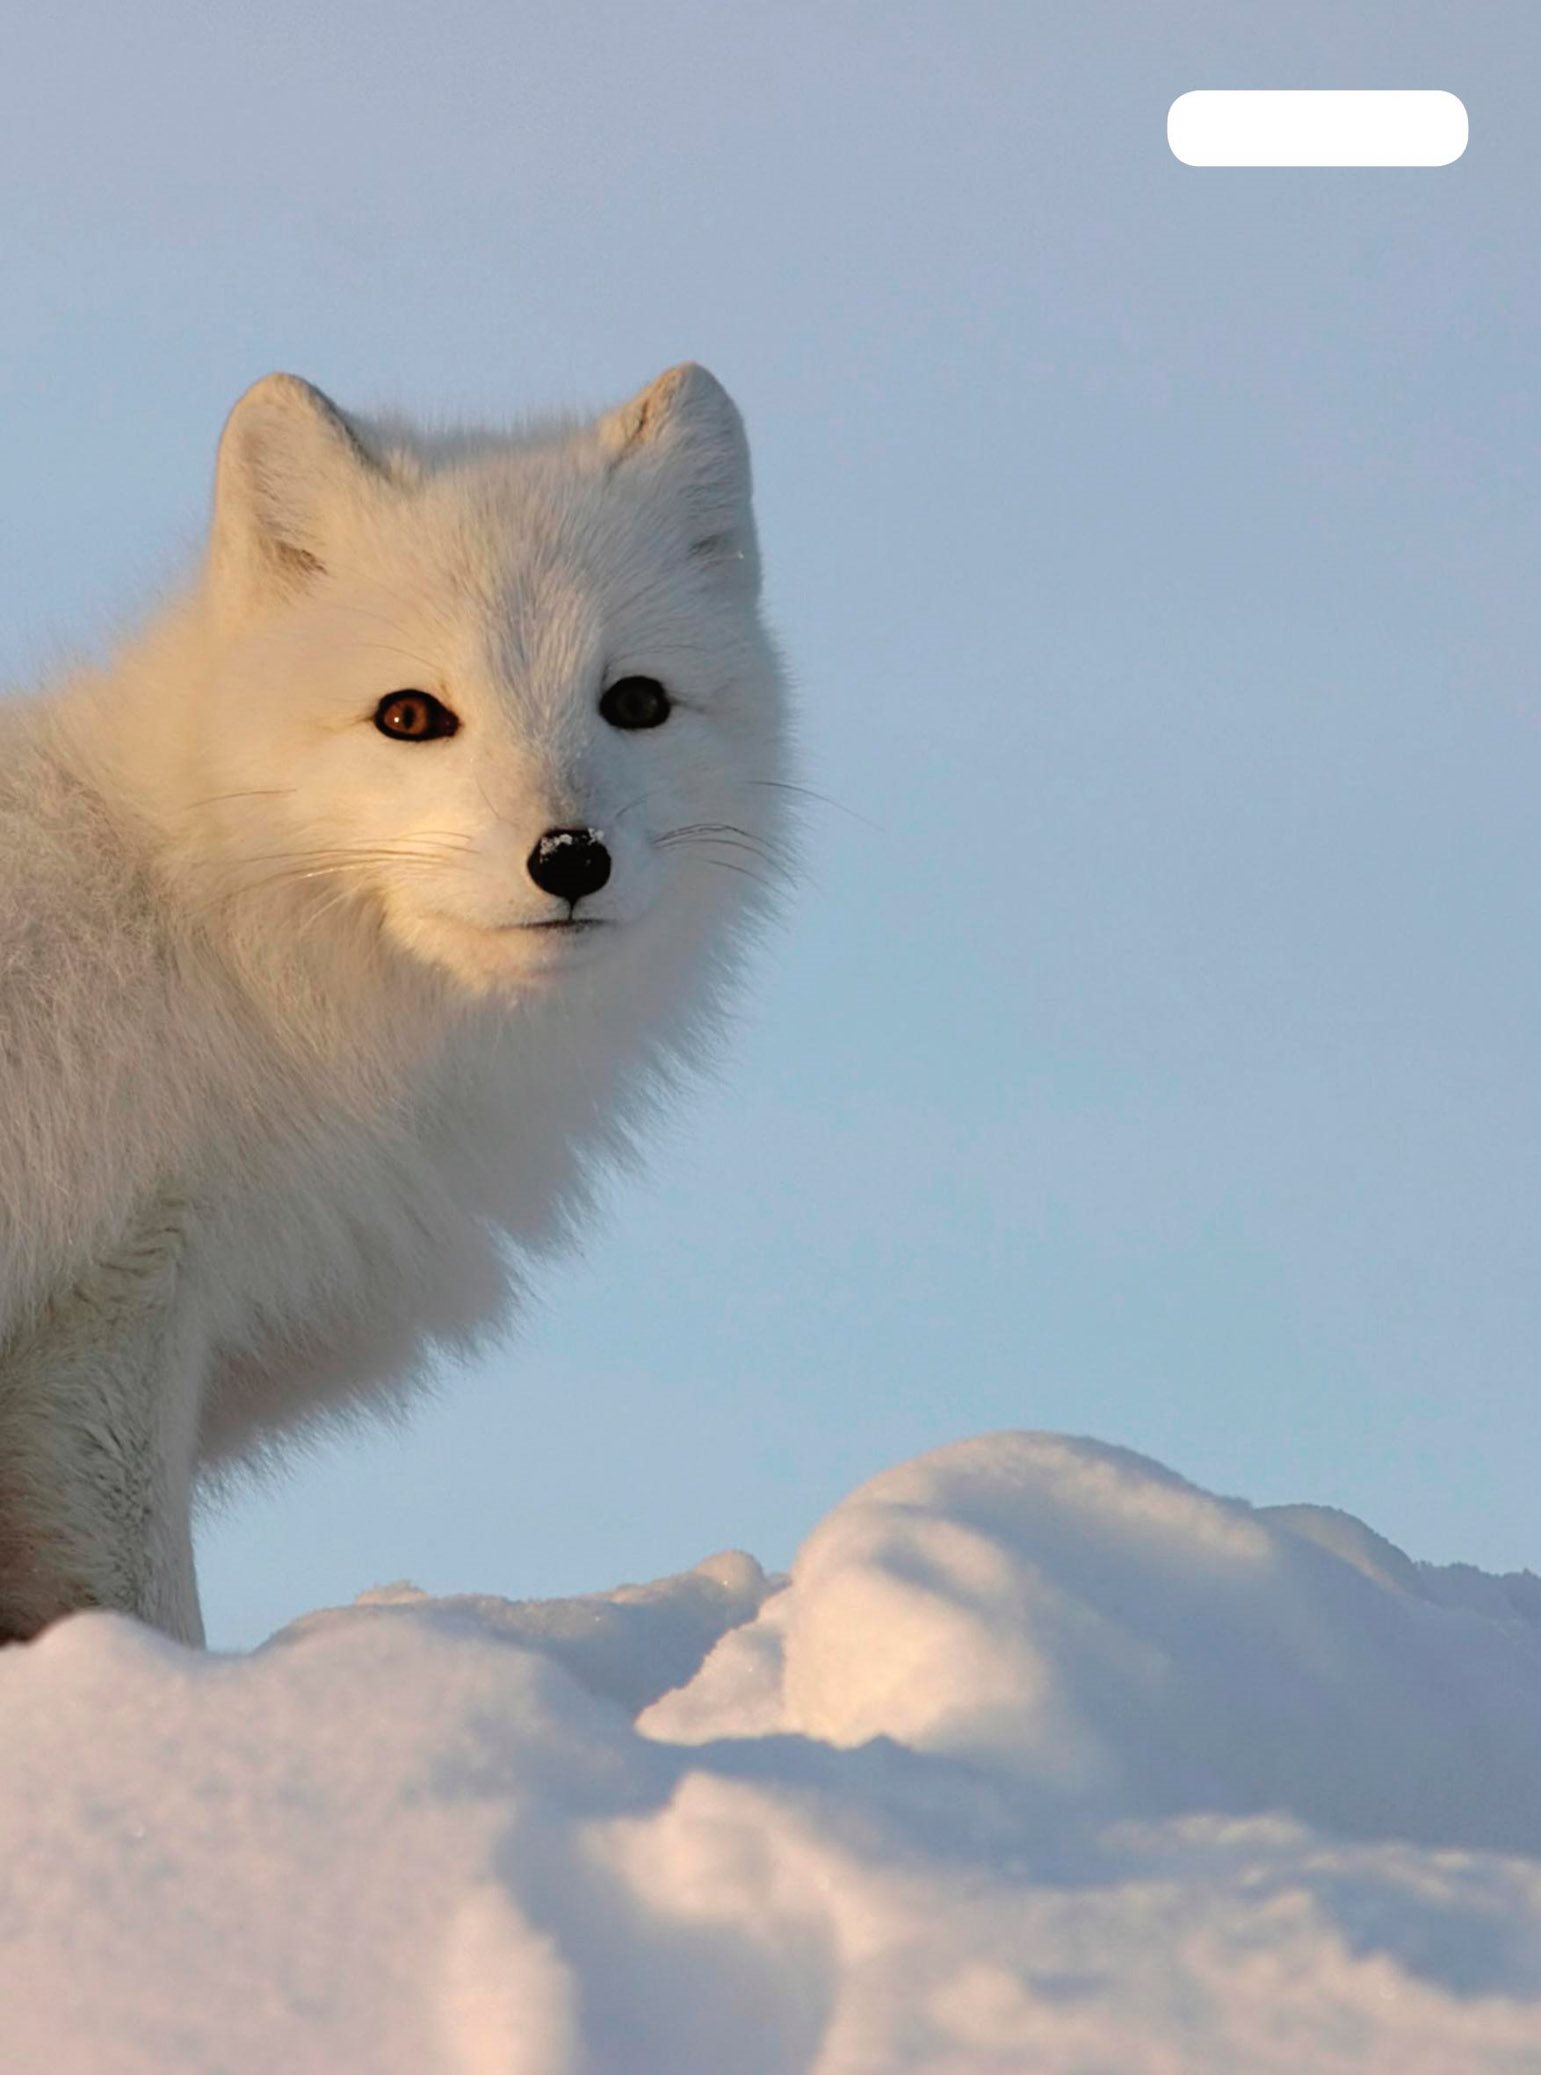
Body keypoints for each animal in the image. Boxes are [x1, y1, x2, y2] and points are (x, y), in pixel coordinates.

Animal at [0, 365, 796, 1643]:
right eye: (411, 715)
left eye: (634, 701)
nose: (568, 857)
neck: (206, 923)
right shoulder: (110, 1307)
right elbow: (151, 1607)